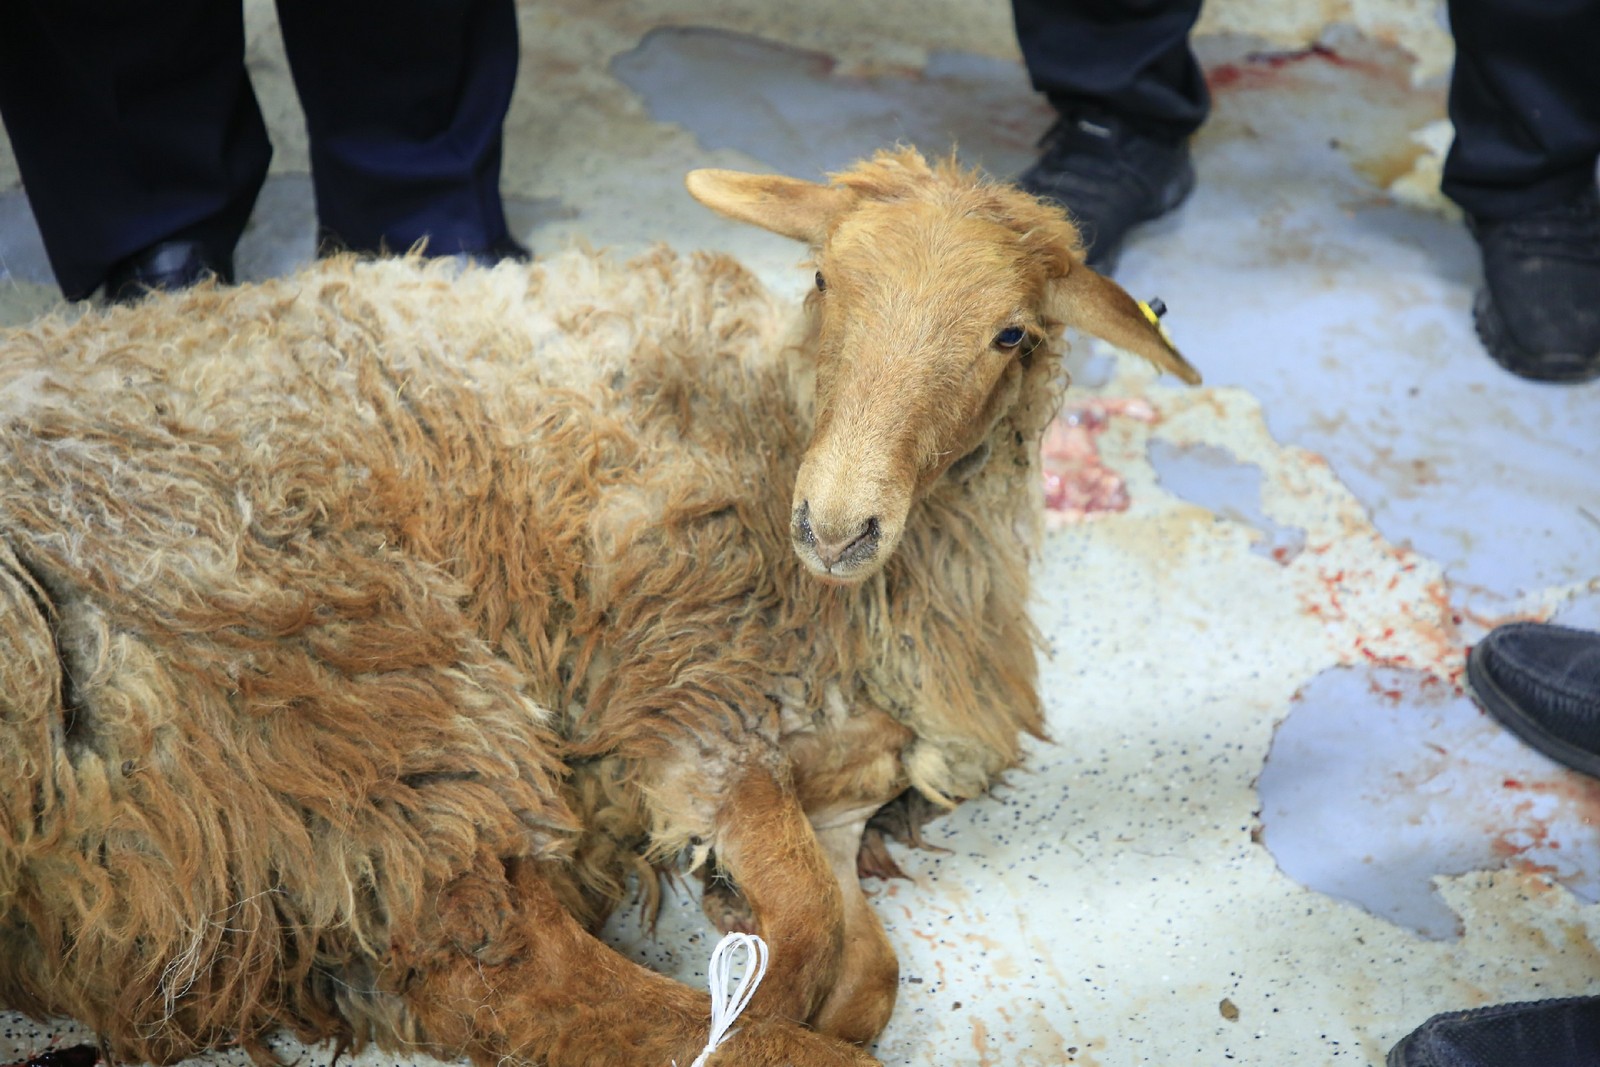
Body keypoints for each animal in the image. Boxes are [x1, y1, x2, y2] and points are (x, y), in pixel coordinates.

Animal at [0, 147, 1197, 1067]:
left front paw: (744, 919)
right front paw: (752, 971)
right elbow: (813, 937)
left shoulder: (840, 787)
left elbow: (868, 971)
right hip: (363, 683)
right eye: (823, 279)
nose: (836, 522)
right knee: (507, 969)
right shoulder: (698, 716)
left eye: (1010, 334)